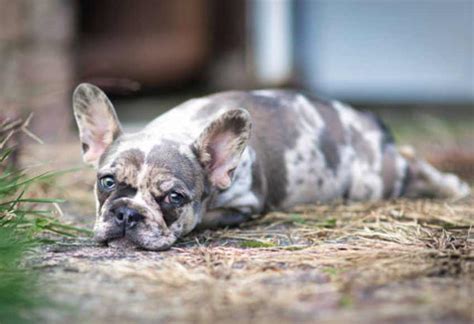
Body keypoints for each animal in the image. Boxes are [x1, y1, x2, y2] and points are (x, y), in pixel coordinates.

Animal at [72, 83, 468, 251]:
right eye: (107, 182)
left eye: (174, 198)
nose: (127, 213)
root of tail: (370, 124)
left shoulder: (244, 204)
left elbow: (205, 219)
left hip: (372, 181)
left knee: (411, 161)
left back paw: (453, 186)